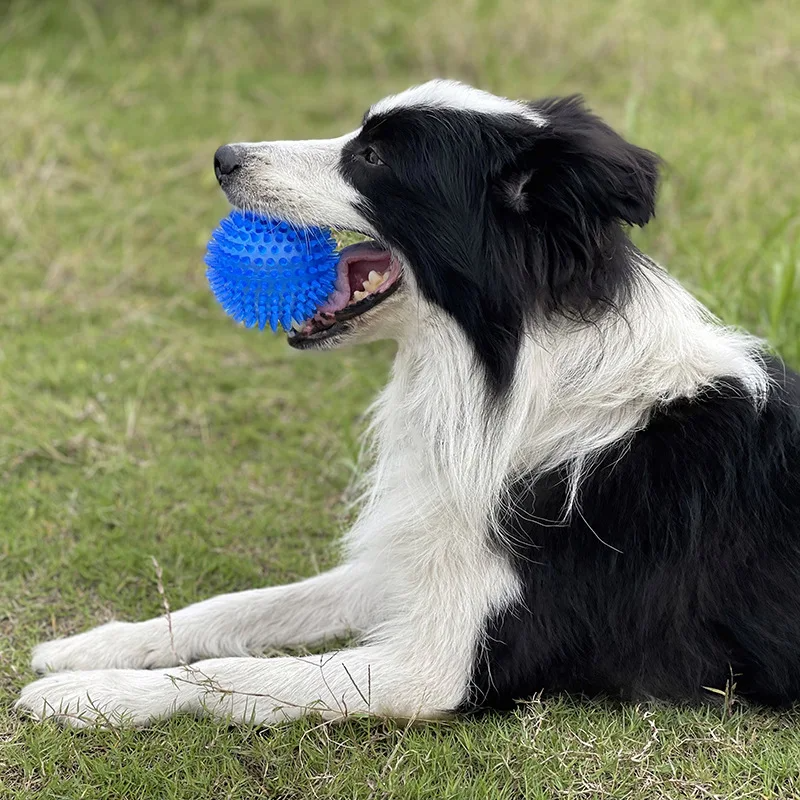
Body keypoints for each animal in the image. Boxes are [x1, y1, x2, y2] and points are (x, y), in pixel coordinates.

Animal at [17, 79, 800, 724]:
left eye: (370, 157)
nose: (223, 155)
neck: (516, 382)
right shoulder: (419, 557)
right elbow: (242, 606)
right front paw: (95, 648)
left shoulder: (439, 666)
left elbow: (234, 675)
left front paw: (88, 696)